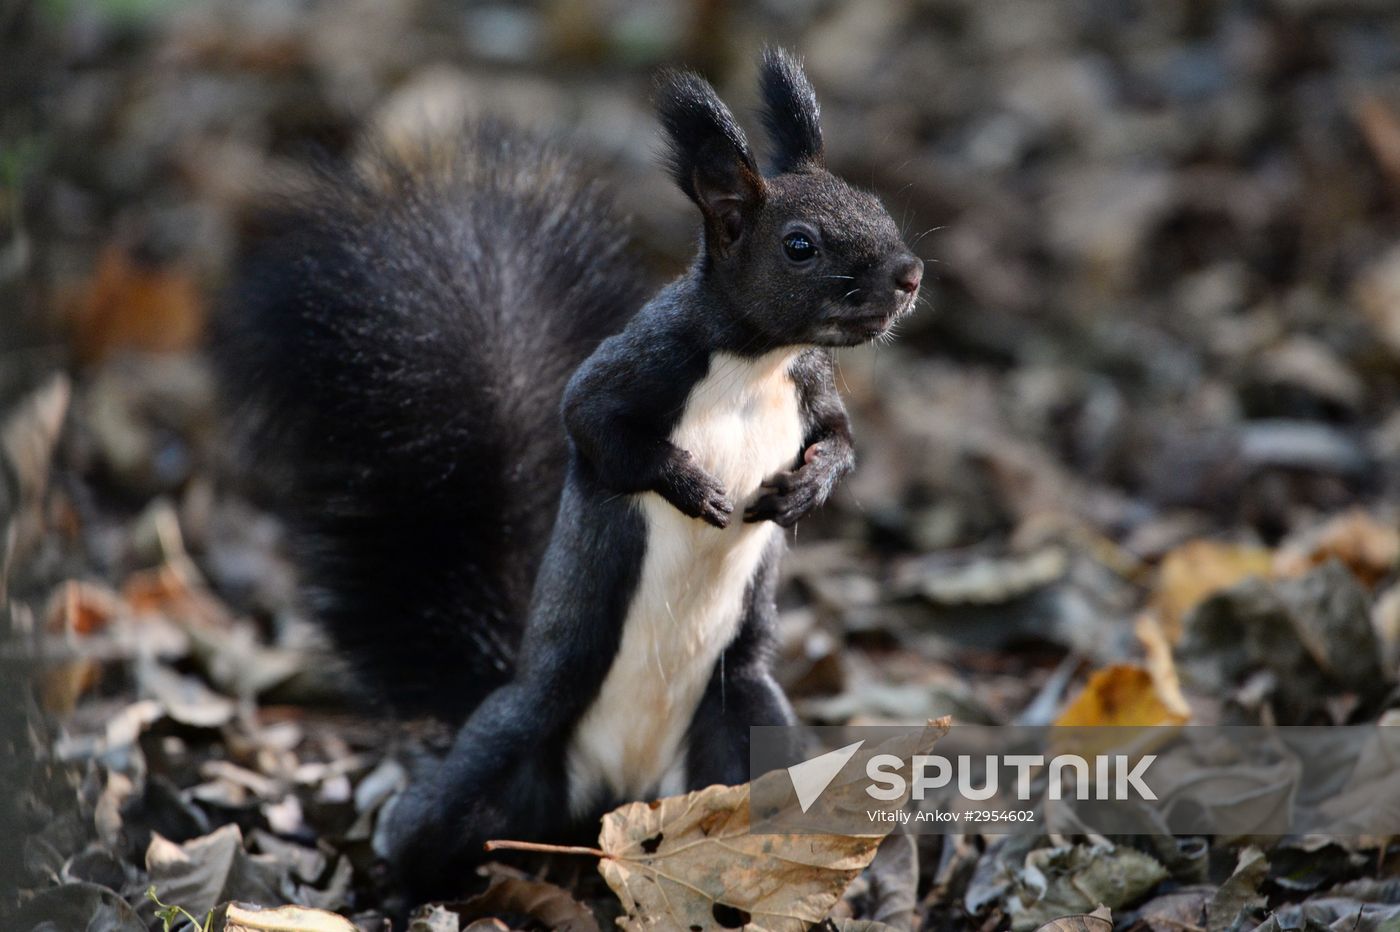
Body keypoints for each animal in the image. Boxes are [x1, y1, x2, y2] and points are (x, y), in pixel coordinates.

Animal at [214, 47, 922, 900]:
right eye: (800, 245)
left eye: (874, 203)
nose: (910, 274)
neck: (757, 363)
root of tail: (618, 795)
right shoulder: (639, 366)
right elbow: (593, 425)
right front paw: (695, 488)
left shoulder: (811, 387)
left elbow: (842, 439)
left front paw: (804, 490)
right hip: (512, 736)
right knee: (429, 825)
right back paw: (396, 884)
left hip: (749, 721)